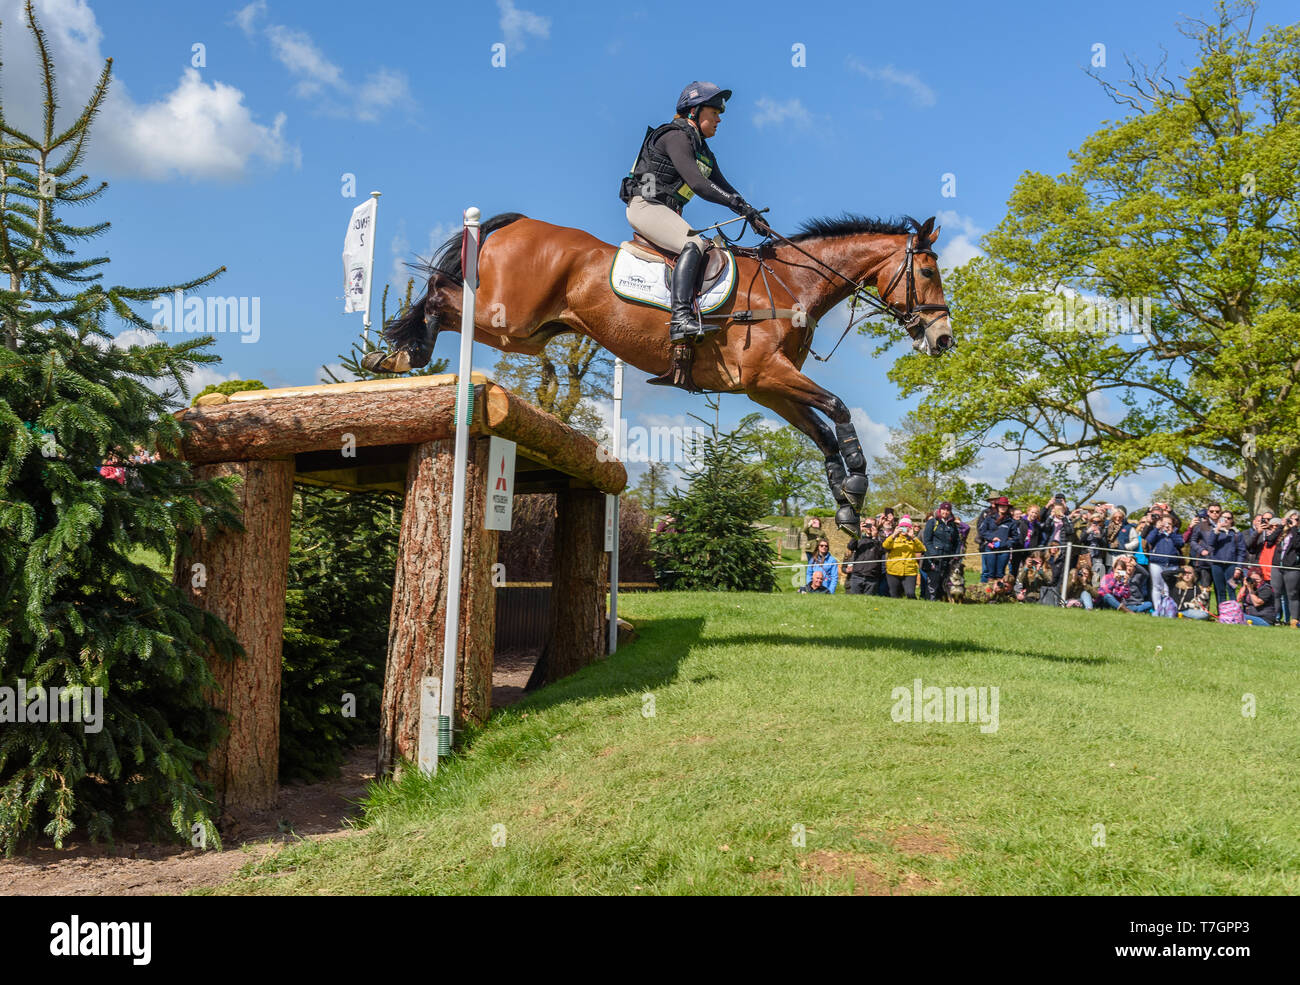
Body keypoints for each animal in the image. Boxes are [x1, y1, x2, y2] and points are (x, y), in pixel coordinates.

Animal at [371, 207, 951, 532]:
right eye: (927, 271)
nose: (943, 339)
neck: (791, 285)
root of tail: (520, 223)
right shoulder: (768, 375)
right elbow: (839, 409)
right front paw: (858, 482)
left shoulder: (767, 389)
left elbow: (822, 433)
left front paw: (848, 507)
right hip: (509, 319)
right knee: (441, 293)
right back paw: (401, 352)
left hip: (531, 331)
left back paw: (399, 354)